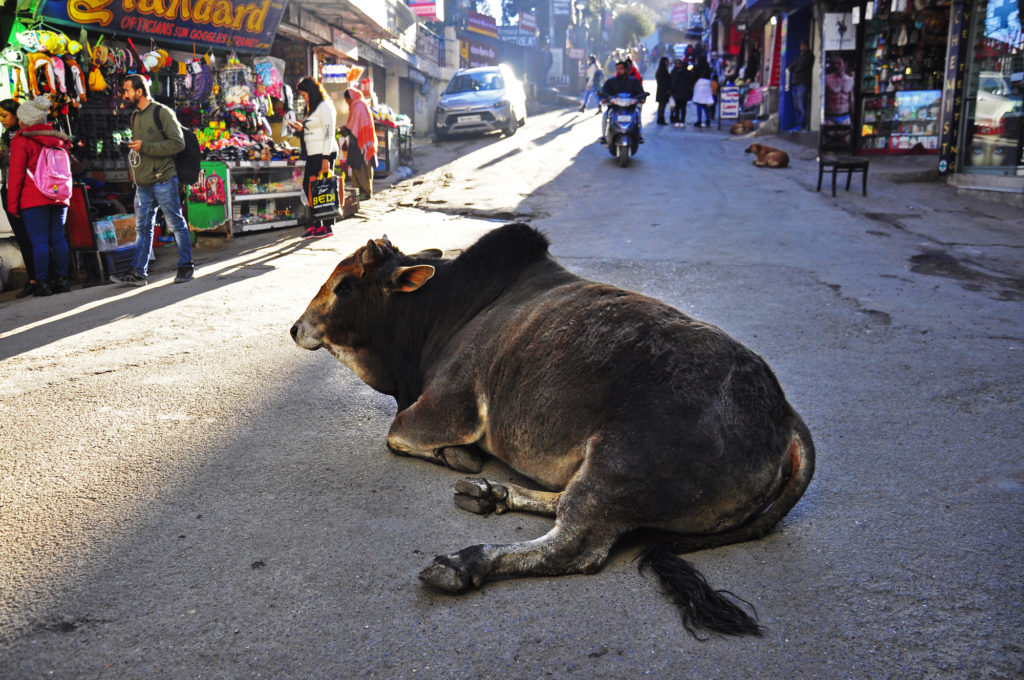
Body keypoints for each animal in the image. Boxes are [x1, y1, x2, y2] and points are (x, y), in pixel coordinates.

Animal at [290, 224, 815, 639]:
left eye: (345, 286)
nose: (296, 328)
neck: (442, 312)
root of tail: (786, 416)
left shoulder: (448, 407)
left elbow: (395, 432)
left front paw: (456, 457)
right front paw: (469, 468)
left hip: (619, 465)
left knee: (575, 545)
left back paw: (465, 562)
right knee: (564, 505)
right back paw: (491, 492)